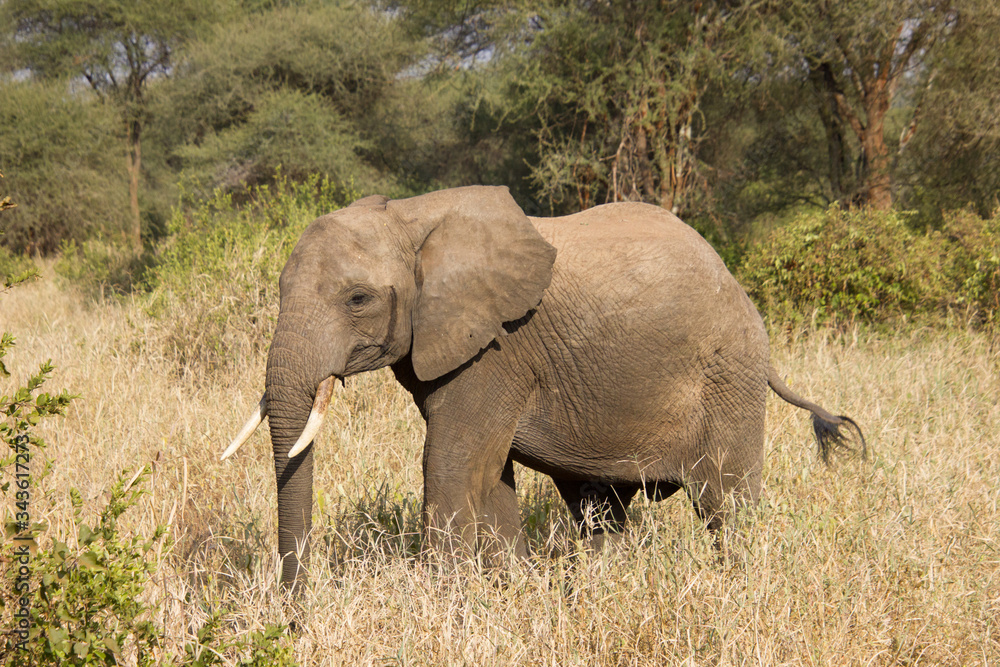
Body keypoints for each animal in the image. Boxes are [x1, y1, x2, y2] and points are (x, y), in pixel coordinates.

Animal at [223, 185, 864, 592]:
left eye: (358, 299)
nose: (295, 612)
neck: (411, 216)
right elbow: (490, 473)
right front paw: (515, 591)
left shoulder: (497, 347)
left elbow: (452, 464)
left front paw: (442, 604)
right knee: (599, 510)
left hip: (728, 374)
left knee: (724, 501)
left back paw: (741, 584)